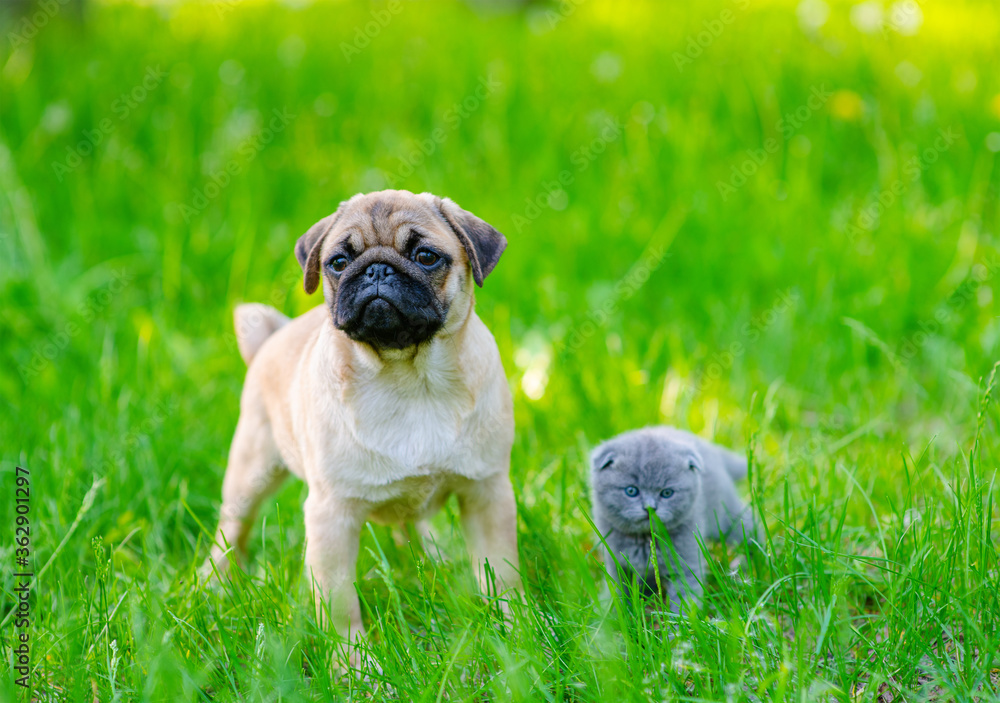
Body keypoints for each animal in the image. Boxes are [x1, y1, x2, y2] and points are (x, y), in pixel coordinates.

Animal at [202, 190, 516, 664]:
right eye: (338, 262)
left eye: (426, 257)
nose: (377, 269)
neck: (409, 380)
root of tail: (270, 338)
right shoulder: (331, 517)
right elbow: (338, 607)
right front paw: (355, 667)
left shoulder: (487, 493)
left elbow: (501, 573)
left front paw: (519, 633)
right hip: (251, 470)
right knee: (231, 530)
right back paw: (213, 584)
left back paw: (433, 562)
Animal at [588, 426, 752, 612]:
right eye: (631, 491)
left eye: (667, 493)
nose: (650, 508)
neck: (645, 539)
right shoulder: (616, 563)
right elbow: (618, 591)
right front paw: (616, 614)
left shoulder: (686, 562)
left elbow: (685, 595)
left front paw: (683, 619)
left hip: (726, 517)